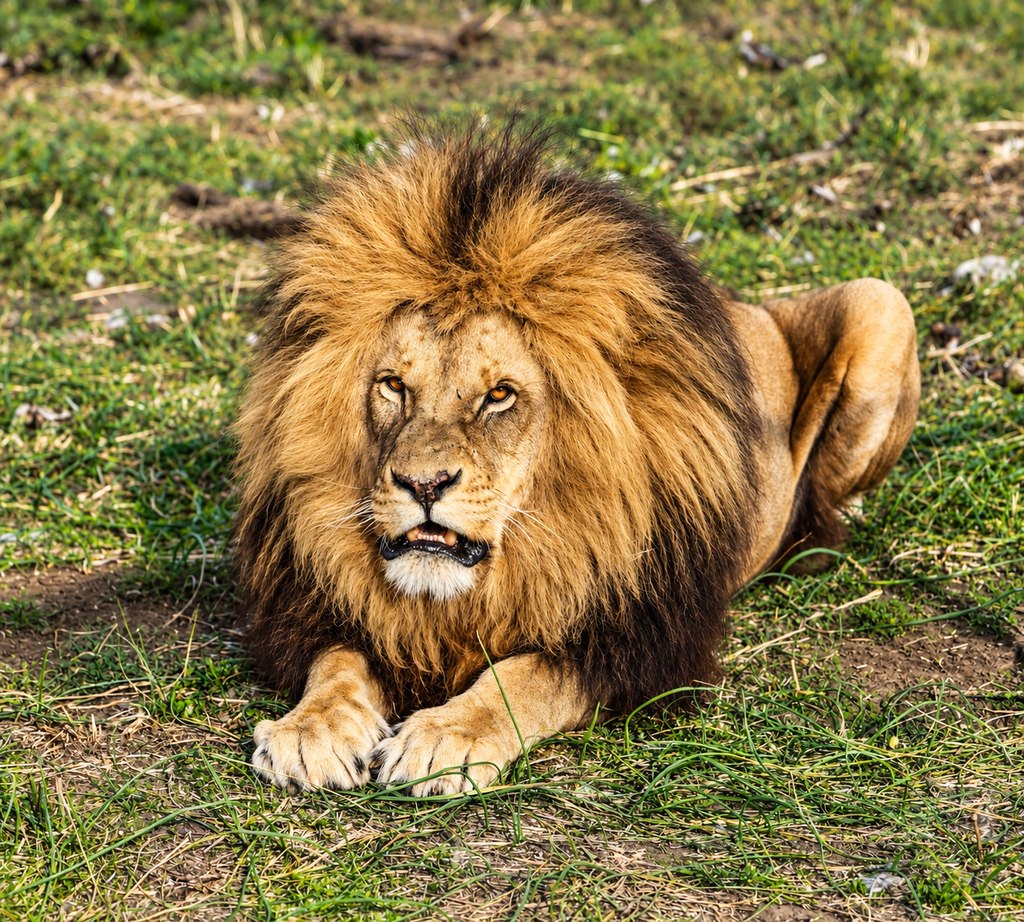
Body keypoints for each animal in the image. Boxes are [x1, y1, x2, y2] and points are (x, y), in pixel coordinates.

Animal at [233, 122, 920, 797]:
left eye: (499, 395)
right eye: (394, 386)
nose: (422, 484)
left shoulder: (637, 642)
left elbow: (524, 678)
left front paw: (447, 737)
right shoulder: (331, 604)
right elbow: (338, 661)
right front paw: (311, 729)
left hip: (883, 303)